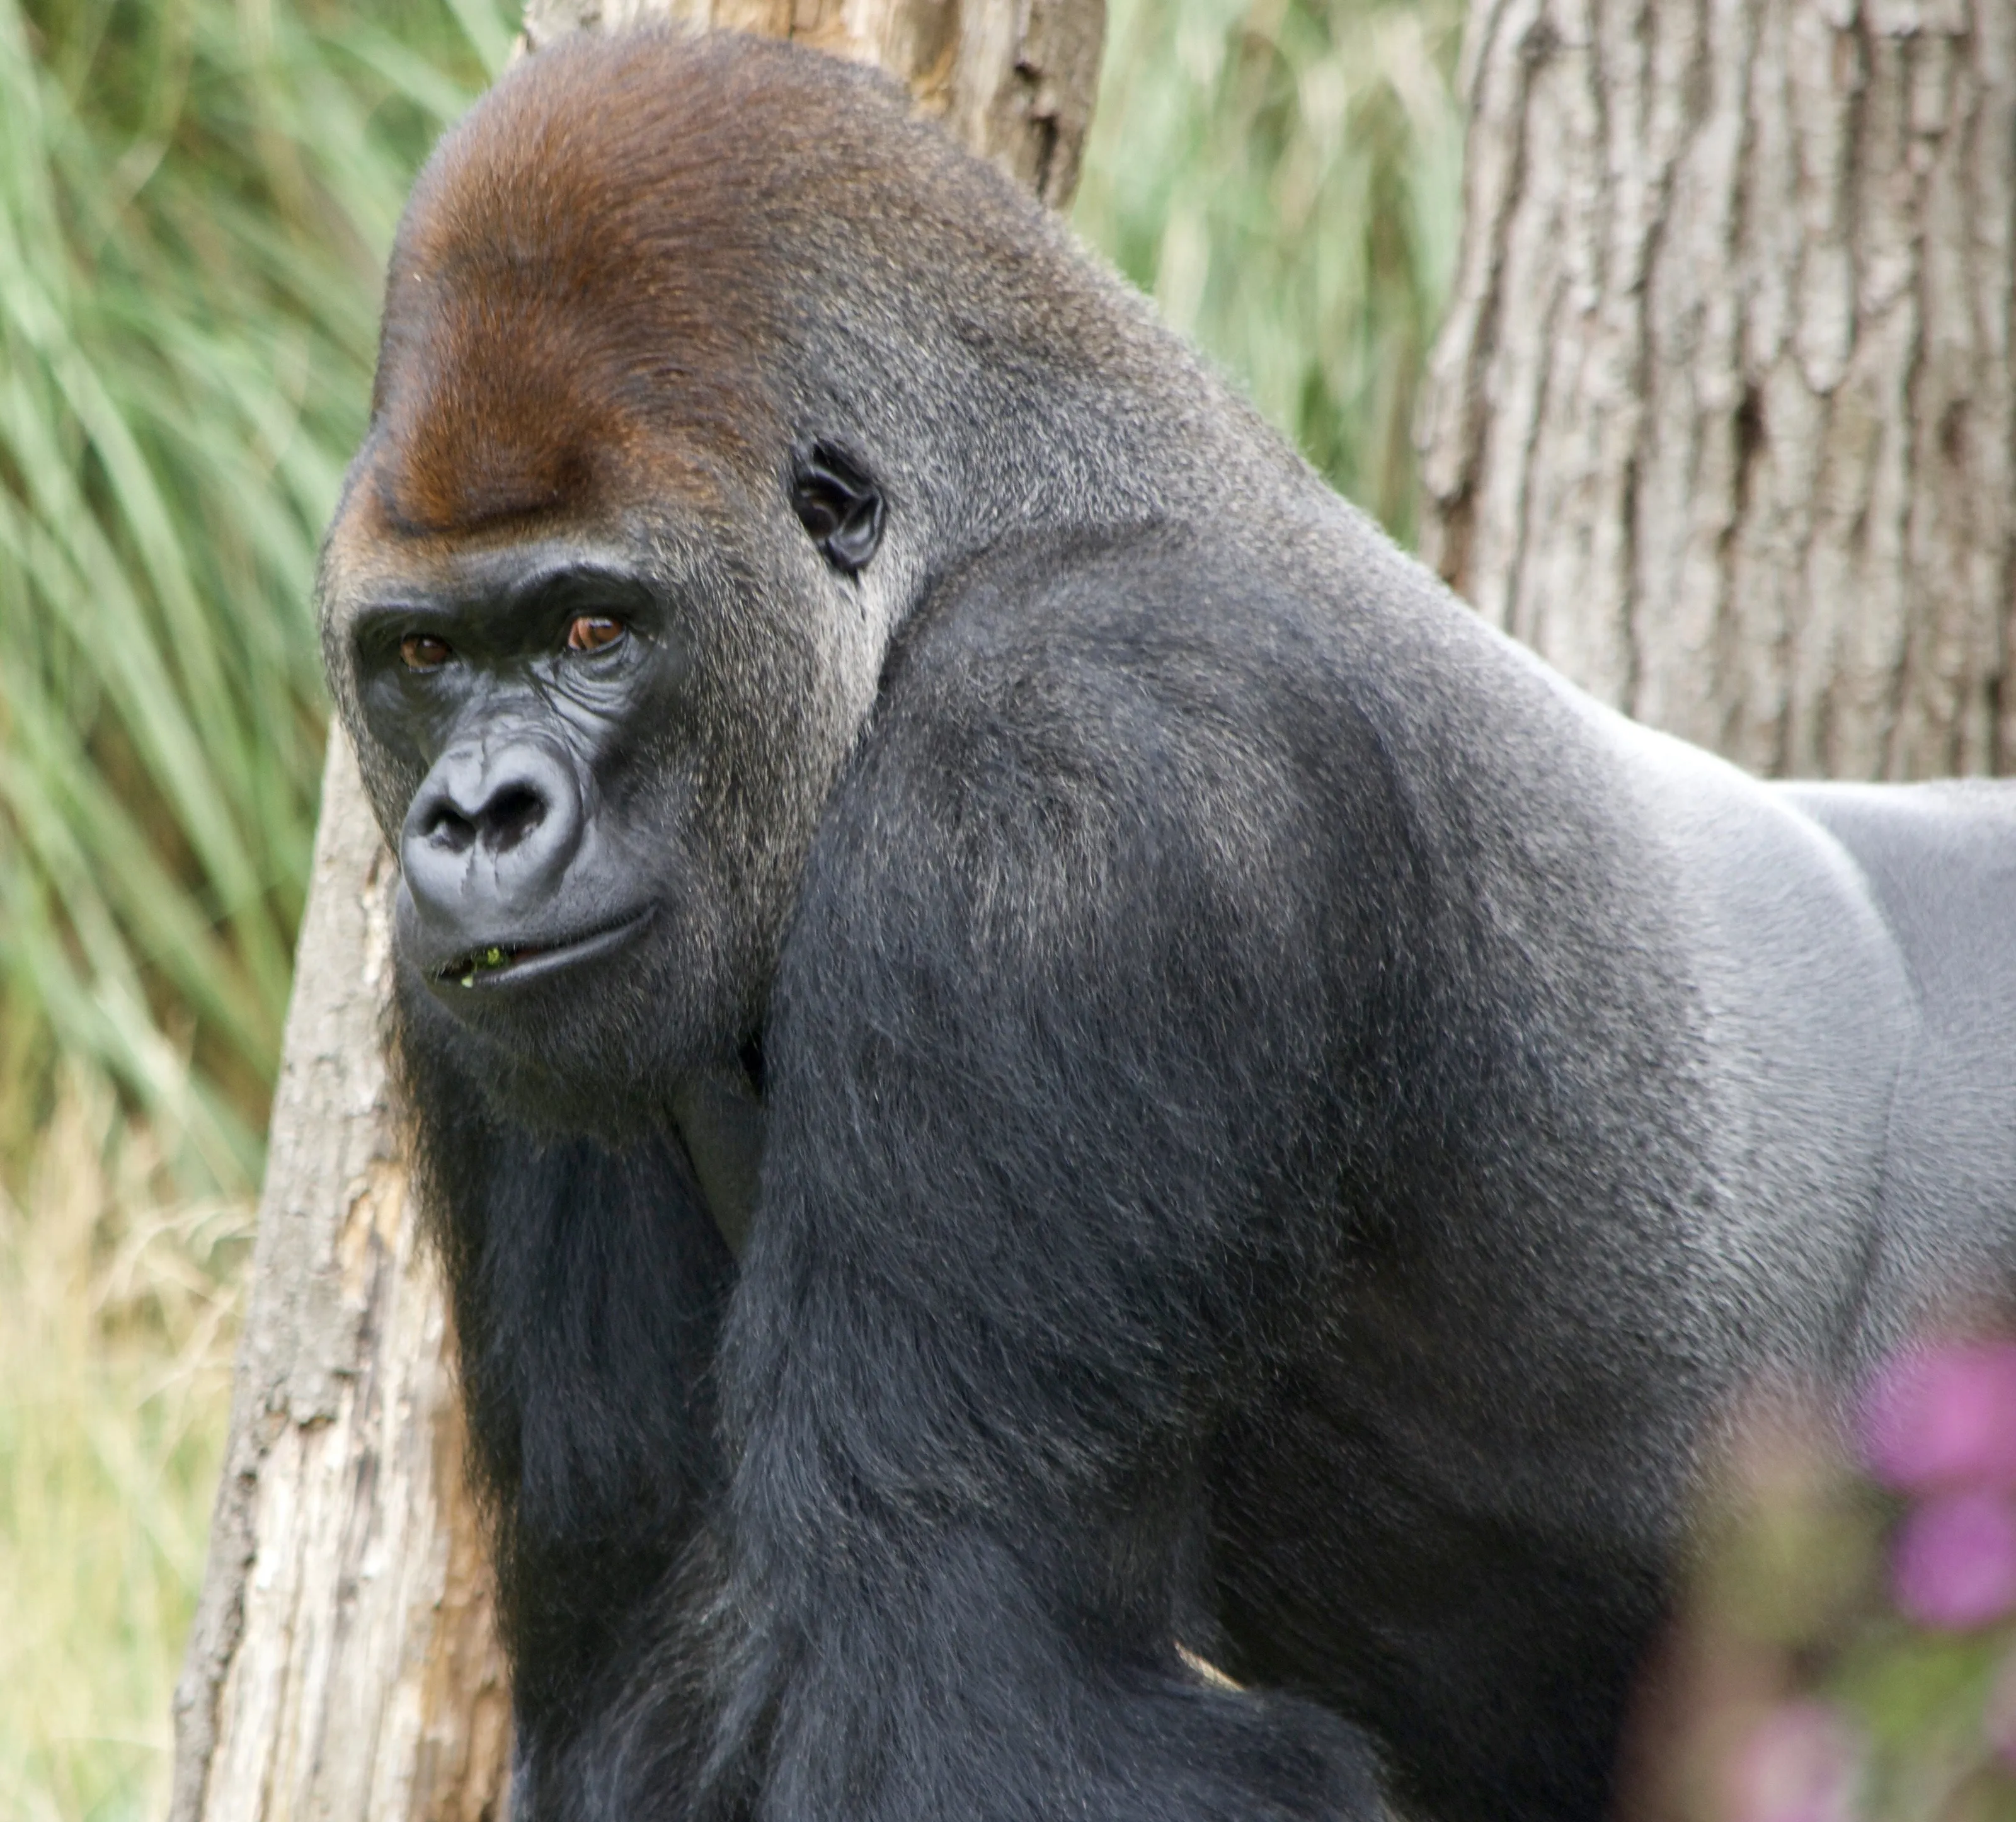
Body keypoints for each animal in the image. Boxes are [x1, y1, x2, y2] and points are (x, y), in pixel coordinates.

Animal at [316, 26, 2016, 1822]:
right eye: (424, 656)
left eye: (593, 630)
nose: (476, 819)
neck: (974, 537)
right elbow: (648, 1667)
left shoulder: (1075, 777)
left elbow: (982, 1683)